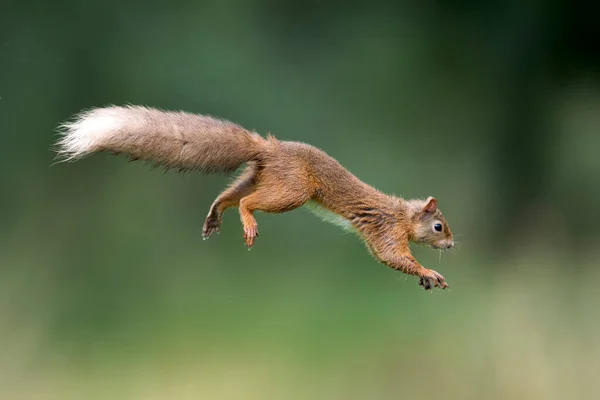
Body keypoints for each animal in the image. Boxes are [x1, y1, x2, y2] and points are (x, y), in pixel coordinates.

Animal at [56, 104, 452, 290]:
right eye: (438, 226)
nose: (451, 245)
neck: (403, 214)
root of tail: (269, 149)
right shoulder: (386, 231)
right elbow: (392, 257)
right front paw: (429, 270)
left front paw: (427, 276)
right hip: (292, 190)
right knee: (247, 202)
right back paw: (247, 223)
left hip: (259, 178)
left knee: (229, 195)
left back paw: (215, 216)